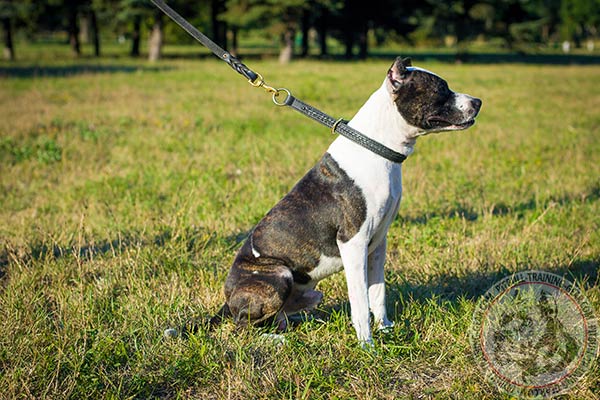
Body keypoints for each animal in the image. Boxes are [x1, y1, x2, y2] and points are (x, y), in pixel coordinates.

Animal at [212, 57, 482, 346]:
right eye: (441, 88)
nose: (478, 101)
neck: (376, 147)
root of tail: (227, 301)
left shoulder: (378, 243)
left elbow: (378, 293)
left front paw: (386, 330)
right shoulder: (353, 242)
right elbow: (360, 300)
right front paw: (368, 346)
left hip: (310, 293)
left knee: (279, 318)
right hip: (278, 275)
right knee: (243, 327)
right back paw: (275, 340)